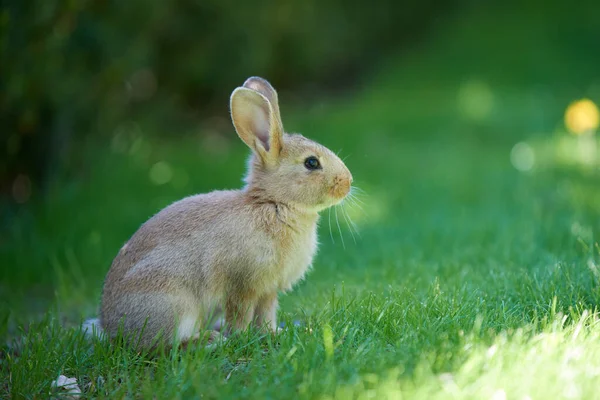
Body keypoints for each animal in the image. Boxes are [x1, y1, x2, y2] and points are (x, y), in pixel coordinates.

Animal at [86, 76, 354, 348]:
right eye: (311, 163)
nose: (347, 182)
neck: (274, 203)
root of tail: (113, 329)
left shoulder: (268, 290)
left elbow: (266, 314)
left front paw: (272, 333)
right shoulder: (242, 286)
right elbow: (240, 314)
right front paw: (241, 337)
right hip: (173, 304)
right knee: (162, 346)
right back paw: (209, 340)